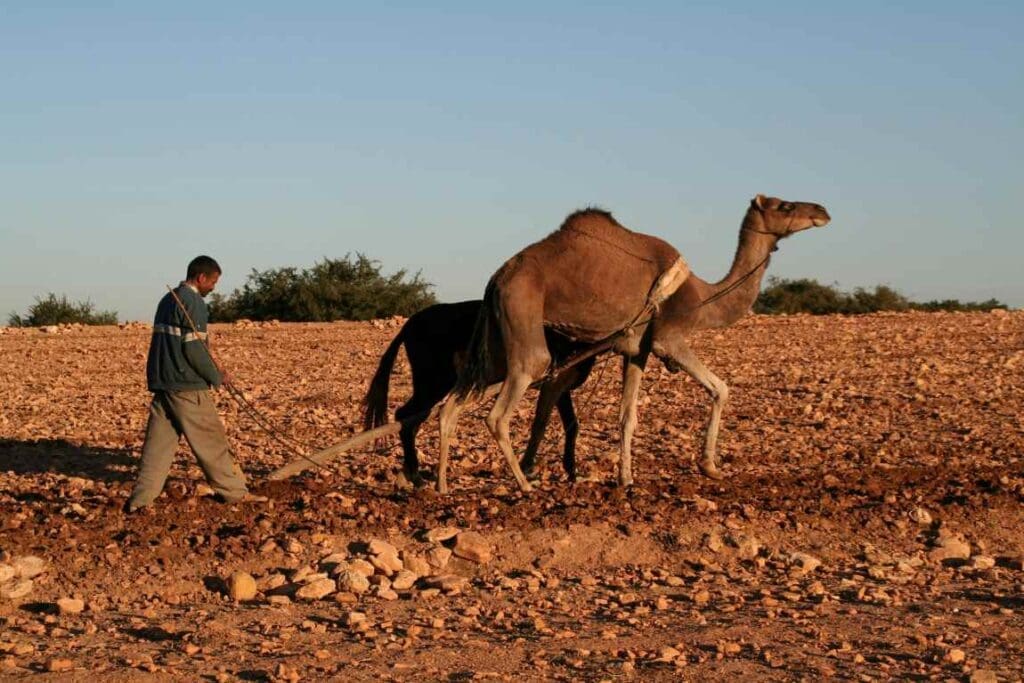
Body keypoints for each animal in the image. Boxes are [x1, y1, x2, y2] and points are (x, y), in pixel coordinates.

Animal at [363, 300, 595, 485]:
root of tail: (410, 324)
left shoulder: (562, 386)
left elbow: (572, 425)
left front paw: (571, 472)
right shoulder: (553, 382)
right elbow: (540, 424)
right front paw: (527, 469)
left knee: (411, 421)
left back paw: (410, 473)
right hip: (433, 381)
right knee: (404, 415)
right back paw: (415, 475)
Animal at [438, 194, 830, 494]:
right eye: (784, 205)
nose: (822, 211)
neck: (702, 296)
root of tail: (497, 278)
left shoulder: (636, 350)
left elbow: (628, 416)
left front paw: (626, 479)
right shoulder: (668, 338)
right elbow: (720, 388)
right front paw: (709, 466)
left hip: (498, 345)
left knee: (452, 405)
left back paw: (442, 486)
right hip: (524, 319)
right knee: (499, 412)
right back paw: (524, 485)